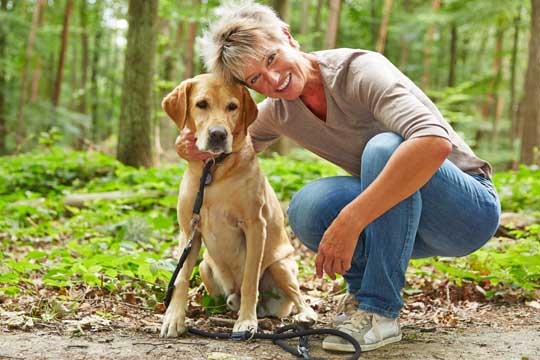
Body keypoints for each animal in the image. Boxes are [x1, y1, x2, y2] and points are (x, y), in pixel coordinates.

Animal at [160, 73, 316, 338]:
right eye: (201, 104)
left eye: (232, 107)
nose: (218, 134)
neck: (214, 170)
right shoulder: (189, 229)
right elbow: (181, 278)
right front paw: (174, 318)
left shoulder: (255, 226)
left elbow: (250, 280)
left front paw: (246, 321)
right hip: (206, 266)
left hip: (281, 266)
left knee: (298, 297)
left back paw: (303, 315)